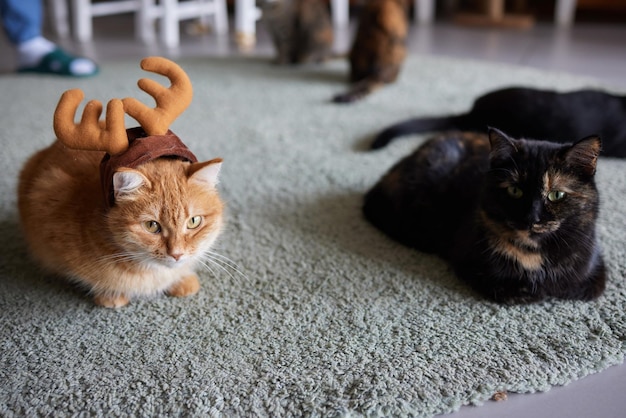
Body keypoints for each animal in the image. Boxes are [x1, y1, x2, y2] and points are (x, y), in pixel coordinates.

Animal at [360, 128, 604, 304]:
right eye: (514, 190)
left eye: (556, 195)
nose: (531, 218)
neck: (533, 254)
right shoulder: (469, 264)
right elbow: (511, 290)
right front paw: (531, 291)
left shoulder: (595, 273)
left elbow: (575, 288)